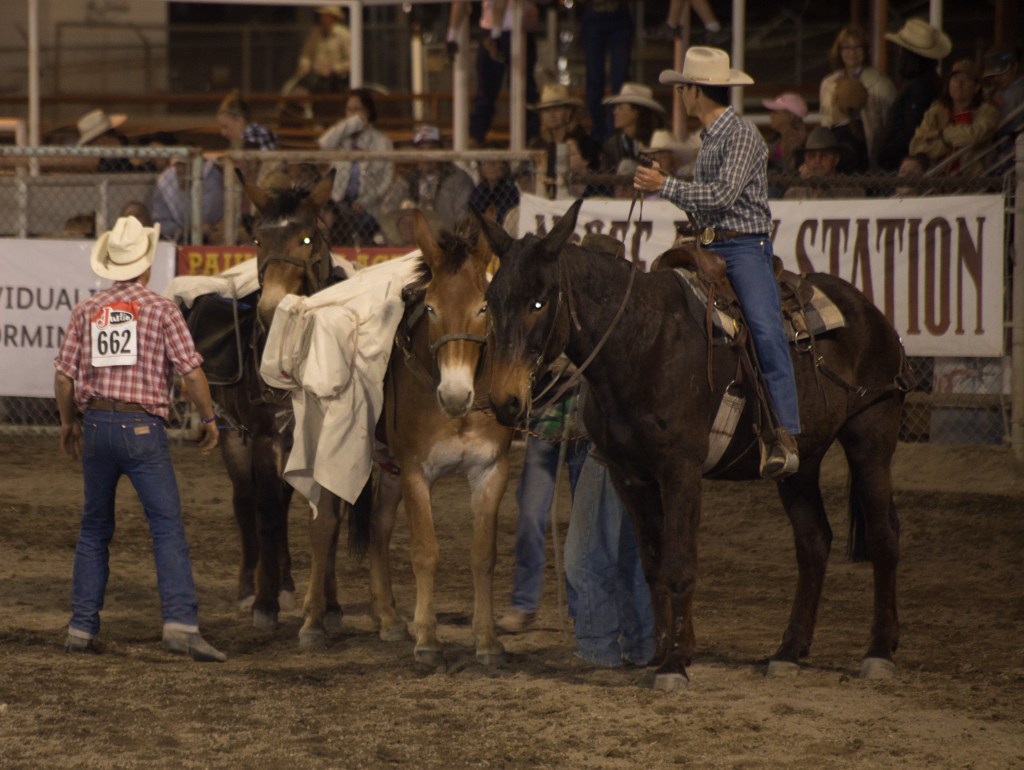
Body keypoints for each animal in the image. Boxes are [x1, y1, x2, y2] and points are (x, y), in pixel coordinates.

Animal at [210, 168, 343, 631]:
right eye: (256, 240)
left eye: (307, 238)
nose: (271, 307)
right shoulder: (265, 438)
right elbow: (267, 514)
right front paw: (264, 604)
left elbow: (328, 518)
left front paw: (329, 605)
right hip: (234, 436)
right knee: (246, 503)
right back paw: (251, 586)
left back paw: (284, 582)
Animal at [298, 212, 514, 663]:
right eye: (430, 307)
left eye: (483, 306)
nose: (455, 395)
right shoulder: (417, 471)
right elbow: (425, 551)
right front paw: (428, 638)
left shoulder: (491, 470)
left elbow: (483, 555)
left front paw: (487, 640)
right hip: (333, 457)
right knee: (323, 526)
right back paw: (312, 621)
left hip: (389, 466)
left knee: (378, 528)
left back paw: (389, 619)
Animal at [478, 199, 907, 691]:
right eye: (490, 300)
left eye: (539, 301)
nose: (505, 400)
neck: (639, 342)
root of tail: (870, 311)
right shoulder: (630, 476)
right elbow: (653, 565)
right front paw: (661, 653)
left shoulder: (679, 470)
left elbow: (680, 564)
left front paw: (675, 664)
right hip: (802, 462)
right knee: (814, 542)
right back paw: (788, 651)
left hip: (870, 436)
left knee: (884, 535)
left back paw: (878, 652)